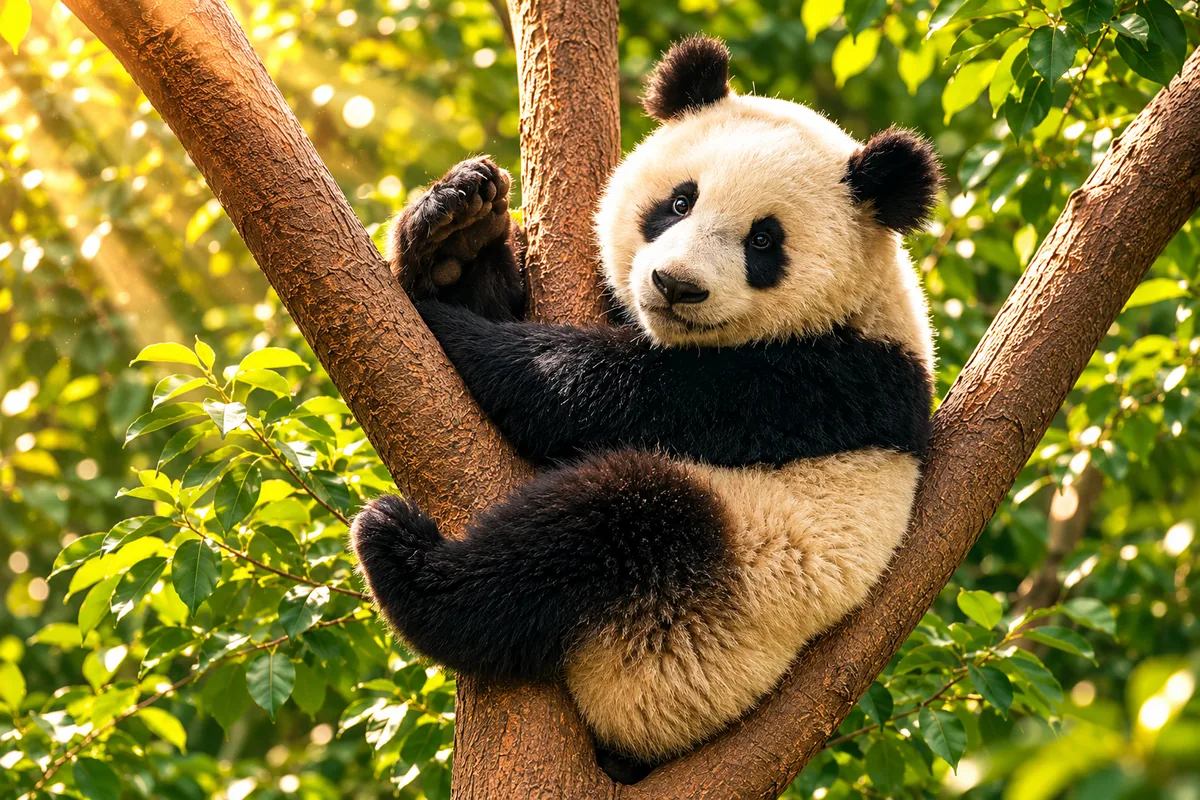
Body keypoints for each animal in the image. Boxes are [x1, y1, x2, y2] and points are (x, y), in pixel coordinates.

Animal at [352, 35, 939, 781]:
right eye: (679, 201)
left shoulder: (823, 378)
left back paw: (408, 563)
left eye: (763, 241)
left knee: (609, 524)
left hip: (702, 619)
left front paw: (452, 327)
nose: (675, 285)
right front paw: (452, 236)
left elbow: (608, 396)